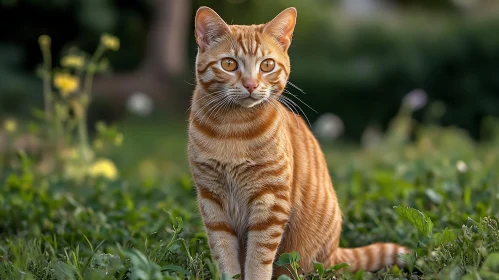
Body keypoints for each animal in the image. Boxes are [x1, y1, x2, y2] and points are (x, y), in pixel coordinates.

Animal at [188, 6, 410, 280]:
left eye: (267, 65)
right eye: (229, 64)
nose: (250, 84)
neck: (233, 129)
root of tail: (335, 251)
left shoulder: (270, 201)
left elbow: (258, 258)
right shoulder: (212, 201)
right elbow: (225, 256)